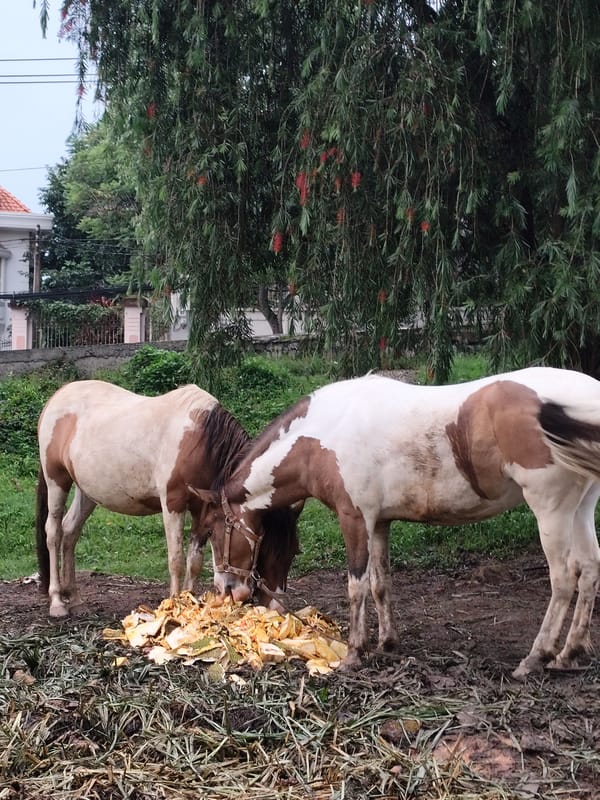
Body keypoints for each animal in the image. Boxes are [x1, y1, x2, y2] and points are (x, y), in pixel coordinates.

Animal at [36, 379, 300, 617]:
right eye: (264, 543)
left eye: (293, 552)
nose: (241, 594)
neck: (201, 442)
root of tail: (56, 398)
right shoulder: (173, 504)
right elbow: (176, 560)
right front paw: (175, 604)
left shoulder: (202, 509)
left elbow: (194, 561)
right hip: (57, 481)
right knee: (54, 532)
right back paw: (58, 602)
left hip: (87, 491)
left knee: (70, 531)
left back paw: (75, 600)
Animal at [191, 366, 600, 678]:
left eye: (214, 533)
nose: (226, 591)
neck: (324, 433)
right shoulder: (380, 523)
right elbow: (380, 583)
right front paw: (386, 644)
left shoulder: (354, 518)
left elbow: (356, 586)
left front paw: (354, 653)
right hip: (581, 509)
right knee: (589, 570)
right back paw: (569, 653)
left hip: (551, 509)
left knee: (564, 579)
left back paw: (536, 657)